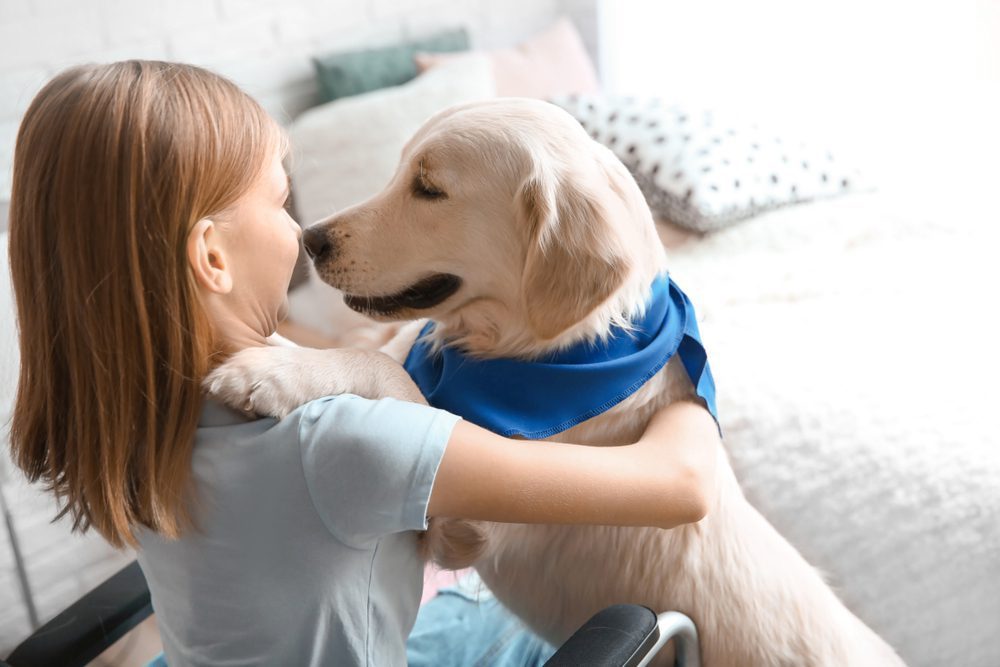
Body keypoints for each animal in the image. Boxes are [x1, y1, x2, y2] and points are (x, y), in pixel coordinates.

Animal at [211, 99, 908, 667]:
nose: (309, 239)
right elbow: (382, 353)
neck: (537, 354)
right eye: (399, 170)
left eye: (429, 189)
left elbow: (391, 375)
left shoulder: (466, 523)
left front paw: (271, 372)